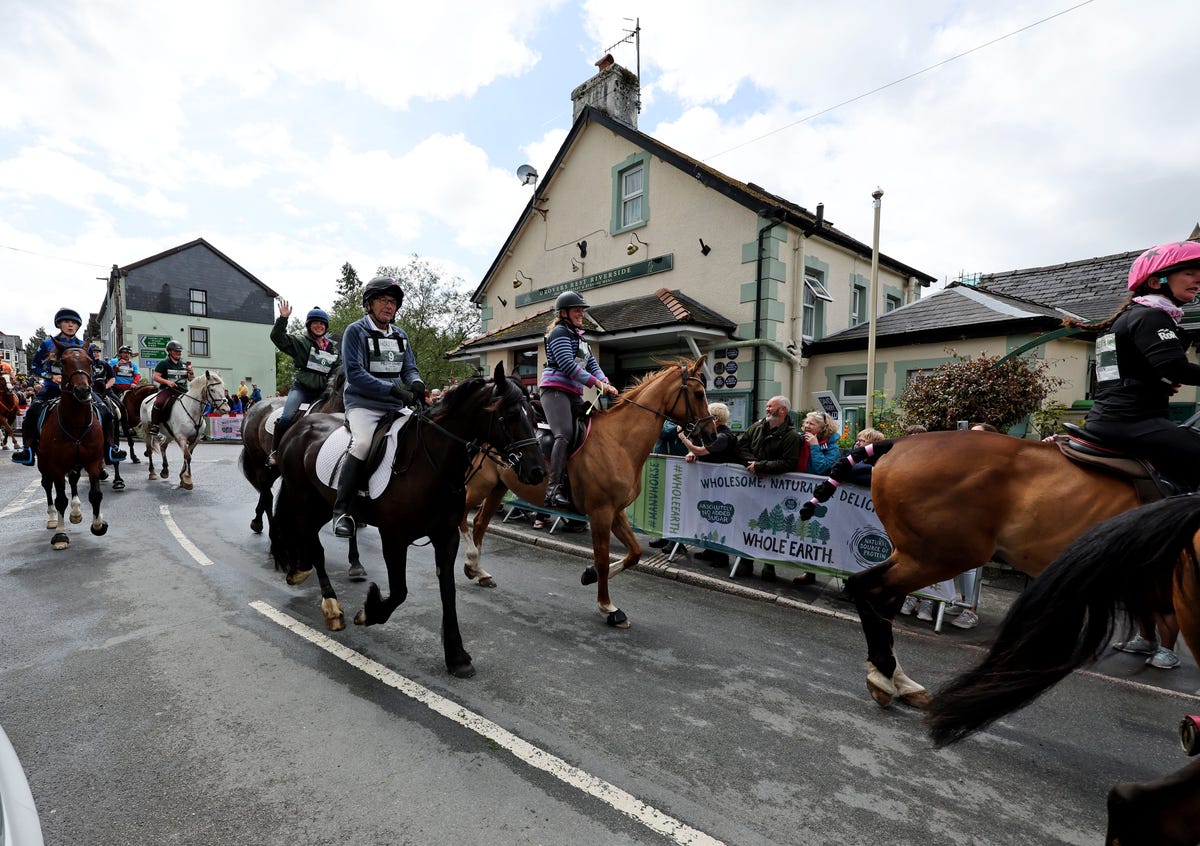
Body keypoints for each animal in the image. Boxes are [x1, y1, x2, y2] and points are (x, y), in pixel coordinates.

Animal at [34, 343, 108, 547]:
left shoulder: (93, 461)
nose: (82, 390)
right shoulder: (57, 465)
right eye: (64, 362)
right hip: (43, 462)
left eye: (89, 361)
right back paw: (52, 518)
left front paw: (98, 525)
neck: (75, 424)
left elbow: (95, 494)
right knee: (47, 485)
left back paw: (76, 512)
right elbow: (60, 499)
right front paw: (60, 534)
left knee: (74, 479)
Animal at [270, 364, 547, 681]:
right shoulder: (394, 536)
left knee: (307, 535)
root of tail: (299, 426)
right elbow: (399, 592)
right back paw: (331, 606)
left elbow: (448, 591)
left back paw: (298, 571)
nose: (538, 471)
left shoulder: (446, 535)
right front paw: (369, 612)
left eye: (533, 414)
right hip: (303, 497)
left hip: (320, 502)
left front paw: (456, 656)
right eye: (509, 415)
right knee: (314, 544)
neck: (430, 463)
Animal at [458, 355, 710, 628]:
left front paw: (589, 575)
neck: (619, 442)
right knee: (462, 516)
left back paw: (477, 570)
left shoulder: (616, 512)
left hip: (497, 487)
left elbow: (635, 553)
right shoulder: (601, 513)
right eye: (698, 394)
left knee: (480, 522)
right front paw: (608, 607)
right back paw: (471, 559)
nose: (711, 432)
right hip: (480, 484)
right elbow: (602, 560)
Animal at [796, 429, 1142, 705]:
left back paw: (893, 677)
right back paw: (886, 674)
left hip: (916, 554)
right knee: (871, 590)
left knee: (878, 595)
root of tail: (898, 444)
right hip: (939, 557)